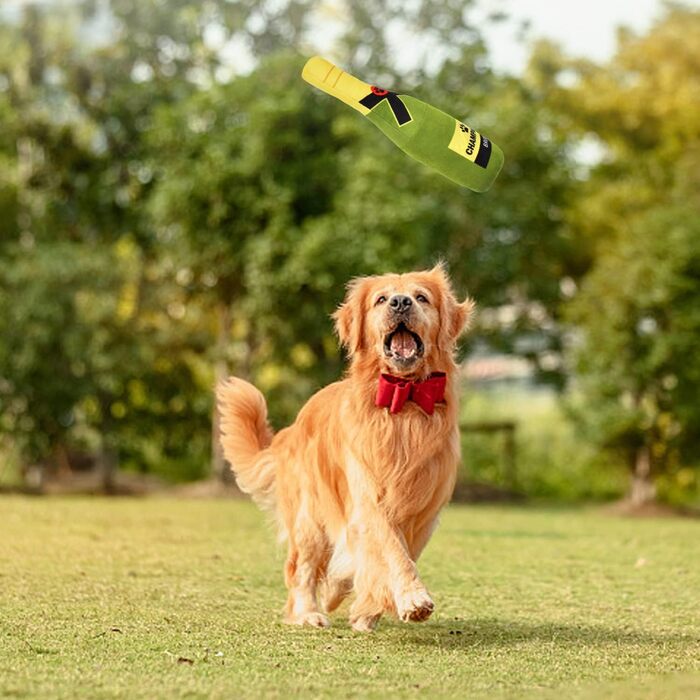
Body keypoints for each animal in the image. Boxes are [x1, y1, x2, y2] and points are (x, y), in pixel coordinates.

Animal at [216, 266, 474, 632]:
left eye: (421, 297)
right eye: (381, 299)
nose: (400, 302)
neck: (404, 400)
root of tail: (292, 428)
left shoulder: (424, 511)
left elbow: (396, 553)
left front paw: (367, 608)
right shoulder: (369, 499)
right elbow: (392, 550)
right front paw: (413, 598)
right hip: (309, 520)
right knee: (300, 570)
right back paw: (307, 613)